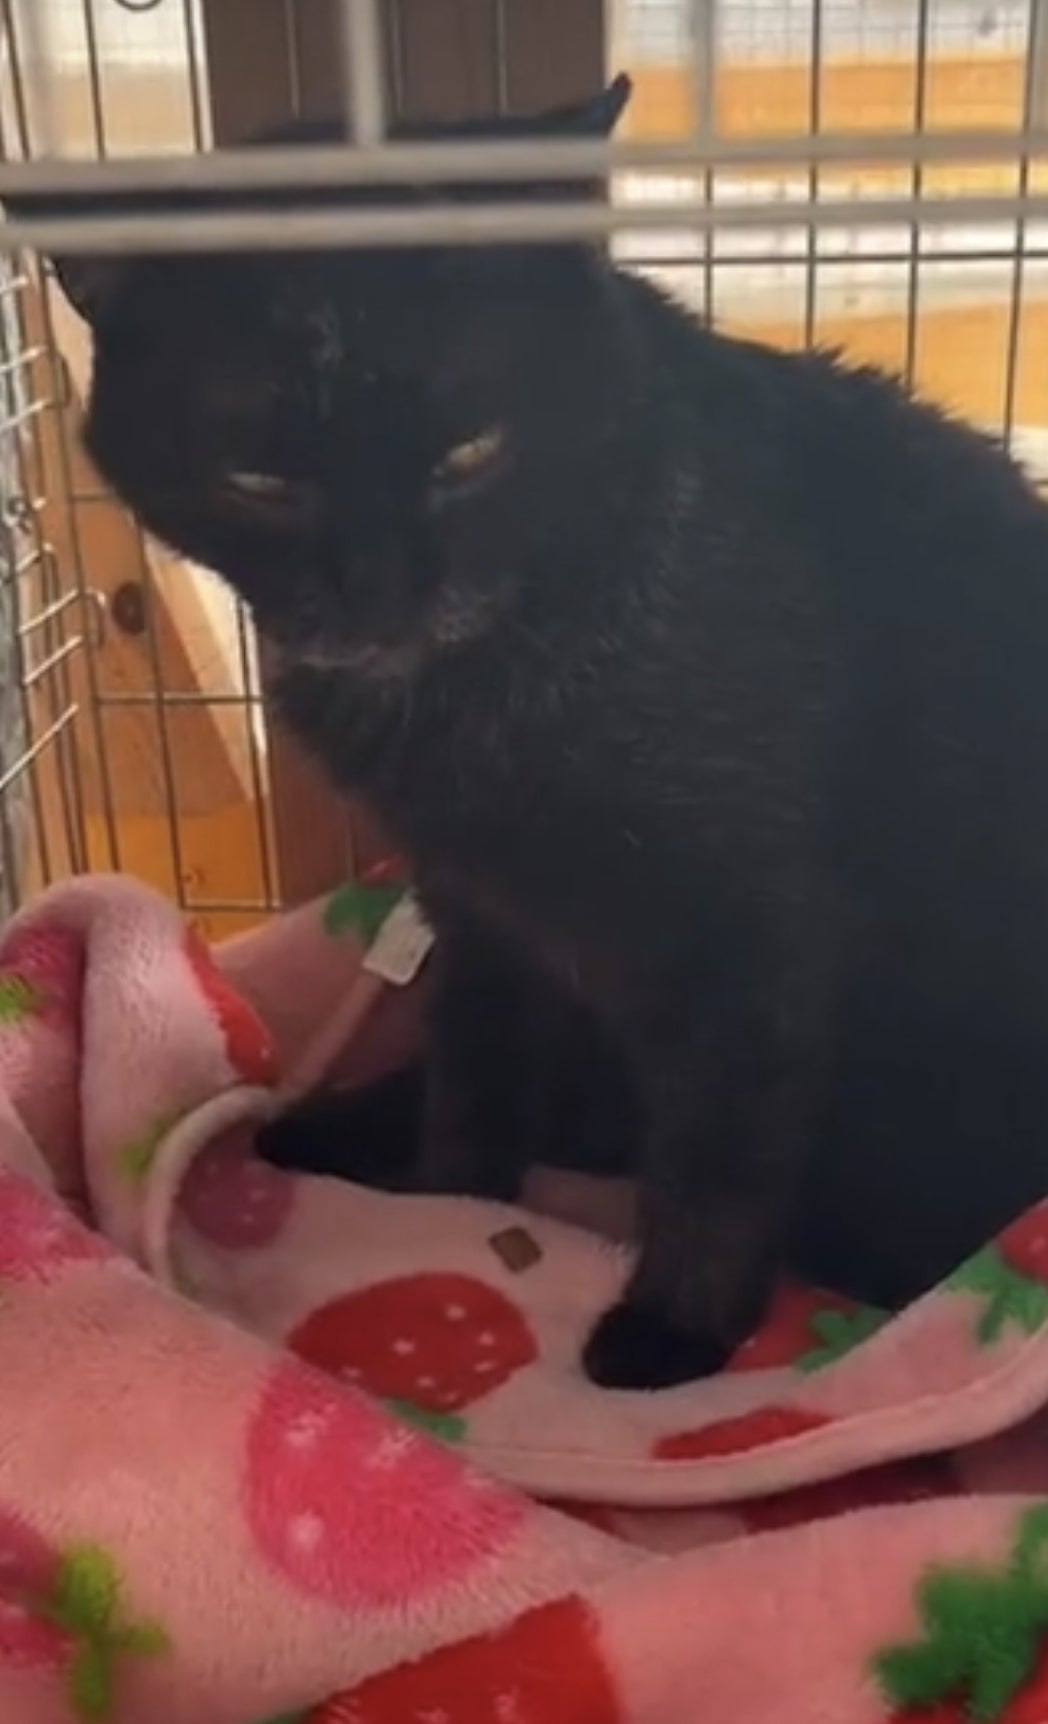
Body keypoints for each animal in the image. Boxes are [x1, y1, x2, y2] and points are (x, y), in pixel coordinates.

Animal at [16, 74, 1048, 1388]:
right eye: (260, 478)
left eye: (471, 448)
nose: (377, 587)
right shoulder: (480, 906)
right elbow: (480, 1069)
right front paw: (453, 1203)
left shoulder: (751, 928)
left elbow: (719, 1142)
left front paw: (670, 1331)